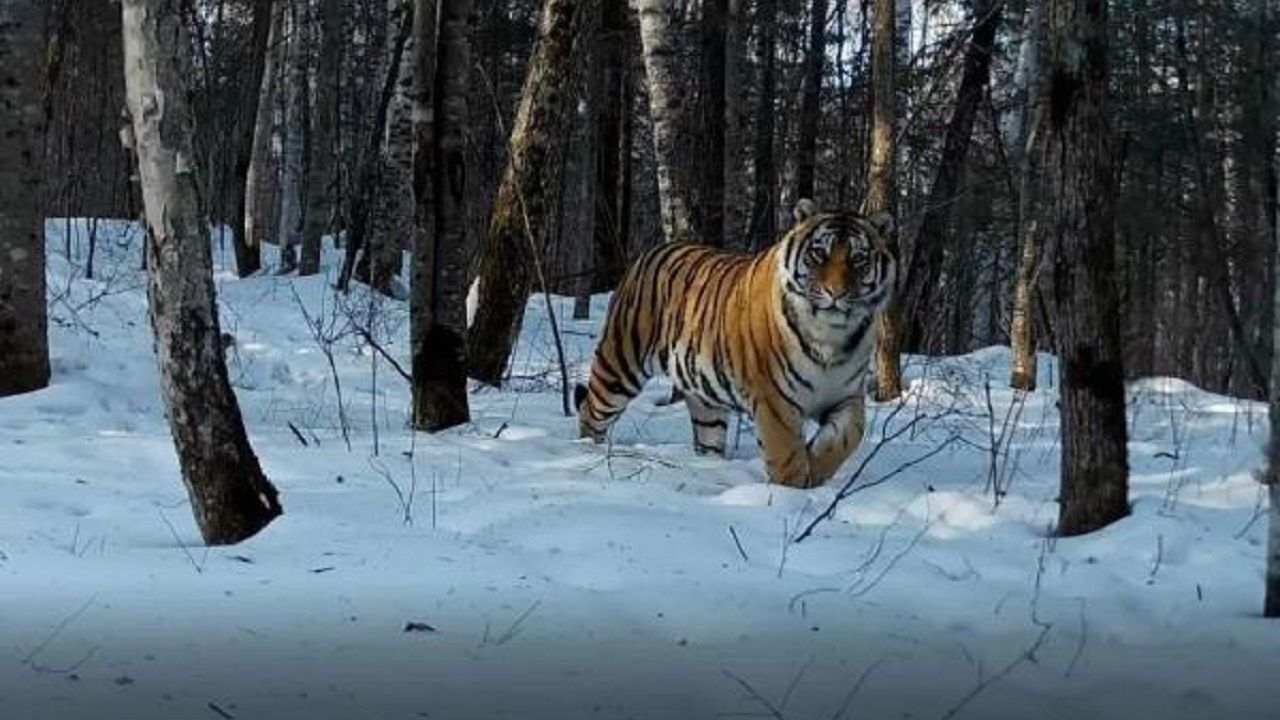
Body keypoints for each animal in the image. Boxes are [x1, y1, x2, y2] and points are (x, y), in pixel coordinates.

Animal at [576, 198, 896, 484]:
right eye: (819, 254)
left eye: (858, 259)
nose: (835, 293)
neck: (831, 335)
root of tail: (650, 252)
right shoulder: (775, 400)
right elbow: (786, 455)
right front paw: (793, 490)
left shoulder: (846, 395)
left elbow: (849, 436)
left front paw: (816, 469)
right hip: (620, 365)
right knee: (591, 411)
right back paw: (587, 451)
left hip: (705, 398)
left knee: (707, 437)